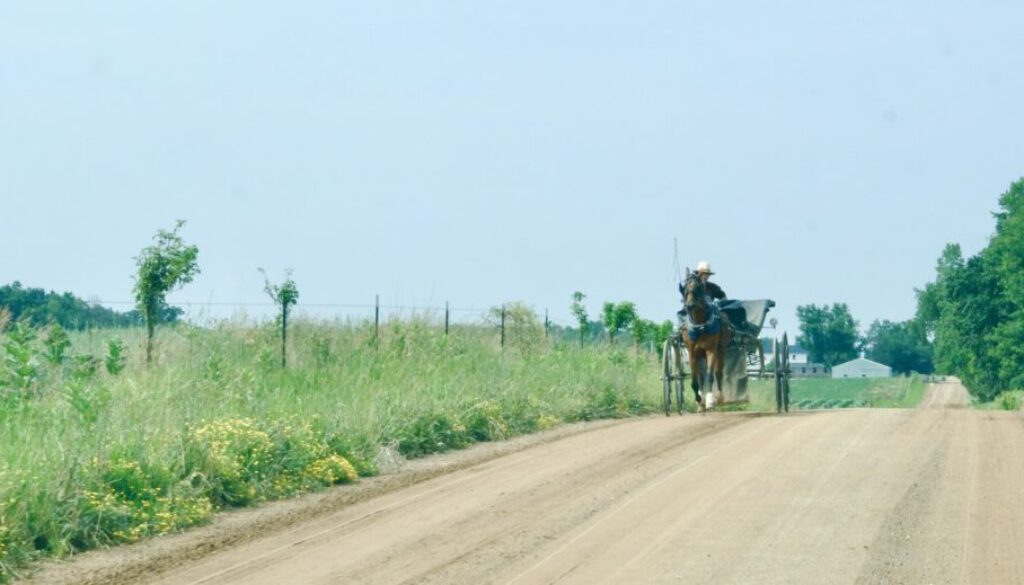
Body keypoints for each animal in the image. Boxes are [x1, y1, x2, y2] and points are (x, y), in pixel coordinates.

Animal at [679, 268, 729, 411]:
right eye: (684, 289)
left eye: (698, 288)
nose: (690, 305)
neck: (700, 325)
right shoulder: (692, 352)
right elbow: (695, 380)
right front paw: (699, 400)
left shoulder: (711, 350)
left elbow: (710, 376)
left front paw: (710, 401)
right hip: (700, 355)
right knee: (701, 377)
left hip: (721, 350)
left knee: (718, 373)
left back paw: (719, 397)